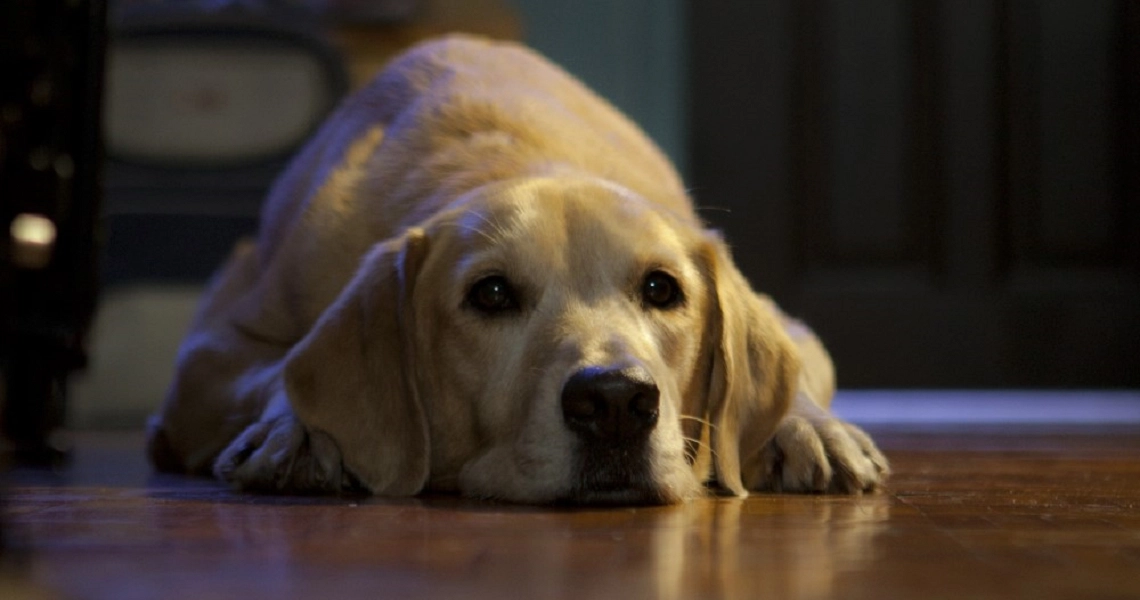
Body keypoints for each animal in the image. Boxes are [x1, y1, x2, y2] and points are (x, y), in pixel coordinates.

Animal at [144, 35, 889, 506]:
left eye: (661, 288)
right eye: (492, 294)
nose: (615, 403)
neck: (520, 154)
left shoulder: (792, 327)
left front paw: (809, 426)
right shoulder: (207, 354)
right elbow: (276, 370)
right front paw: (292, 426)